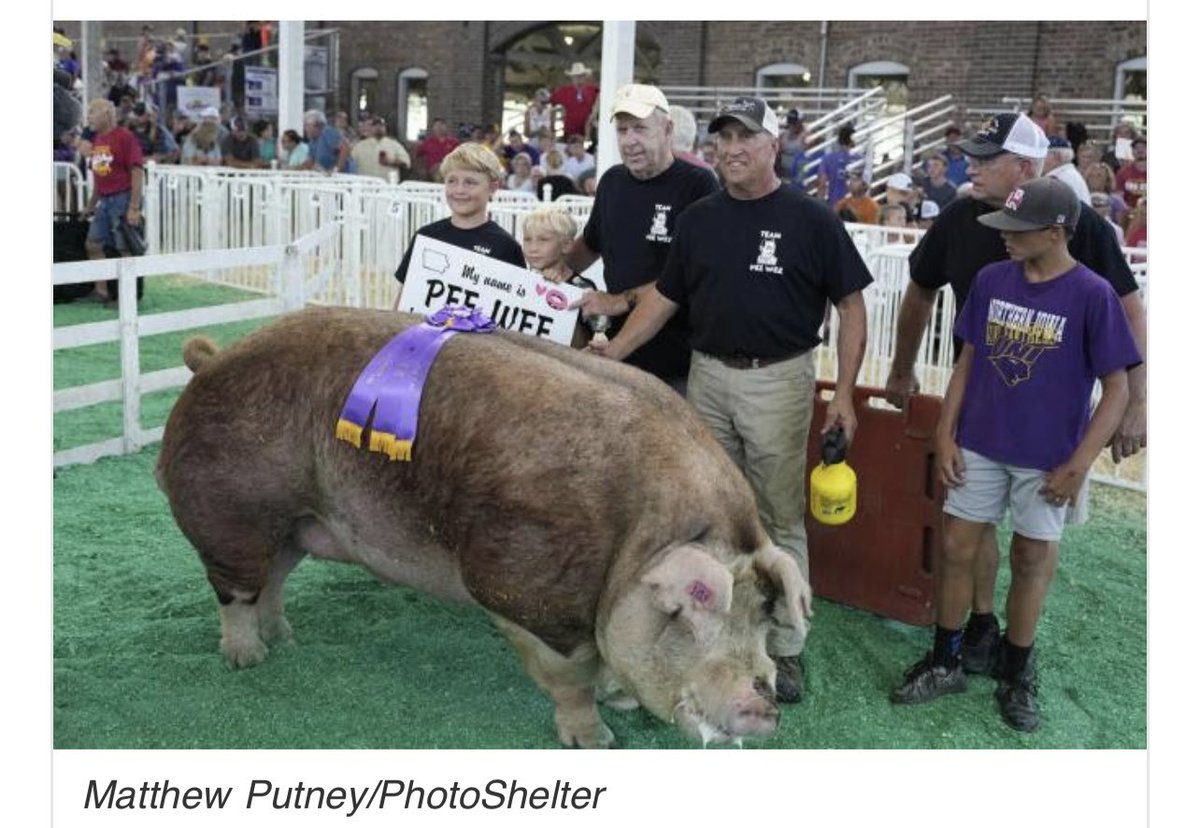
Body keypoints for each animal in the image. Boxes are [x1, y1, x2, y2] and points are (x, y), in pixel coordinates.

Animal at [156, 307, 813, 748]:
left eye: (763, 617)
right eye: (695, 609)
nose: (768, 705)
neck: (638, 545)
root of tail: (213, 359)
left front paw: (622, 700)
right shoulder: (531, 594)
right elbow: (571, 679)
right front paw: (597, 739)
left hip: (295, 522)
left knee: (272, 581)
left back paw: (286, 642)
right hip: (231, 510)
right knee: (236, 593)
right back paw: (248, 660)